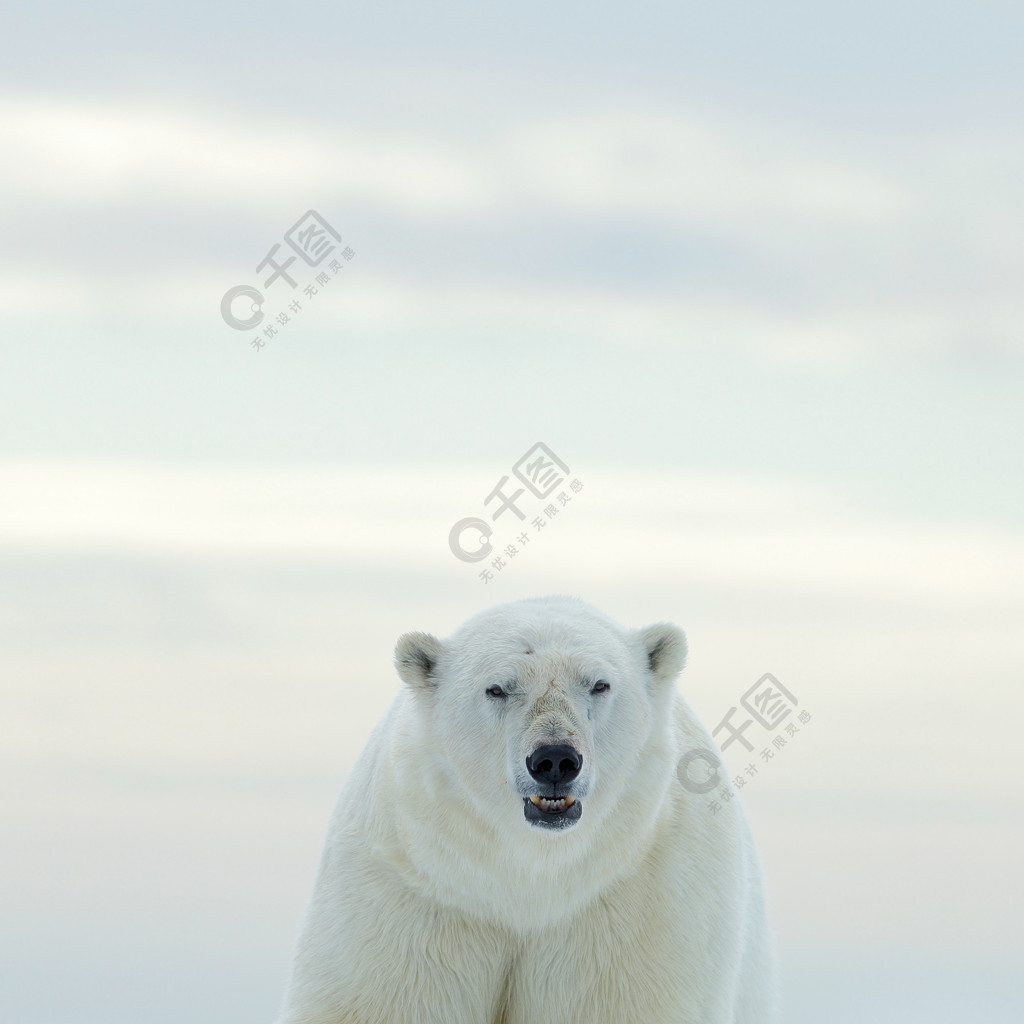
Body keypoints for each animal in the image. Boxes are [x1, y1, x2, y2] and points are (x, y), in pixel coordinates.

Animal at [276, 598, 770, 1024]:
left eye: (599, 683)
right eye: (497, 688)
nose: (555, 759)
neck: (528, 880)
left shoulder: (641, 903)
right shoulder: (417, 892)